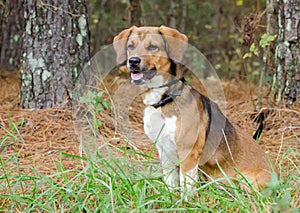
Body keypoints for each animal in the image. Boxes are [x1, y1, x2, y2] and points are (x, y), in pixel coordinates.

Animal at [113, 25, 276, 193]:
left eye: (152, 47)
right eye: (130, 46)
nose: (133, 61)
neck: (164, 100)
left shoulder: (188, 153)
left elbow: (186, 188)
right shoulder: (164, 152)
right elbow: (170, 184)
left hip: (247, 182)